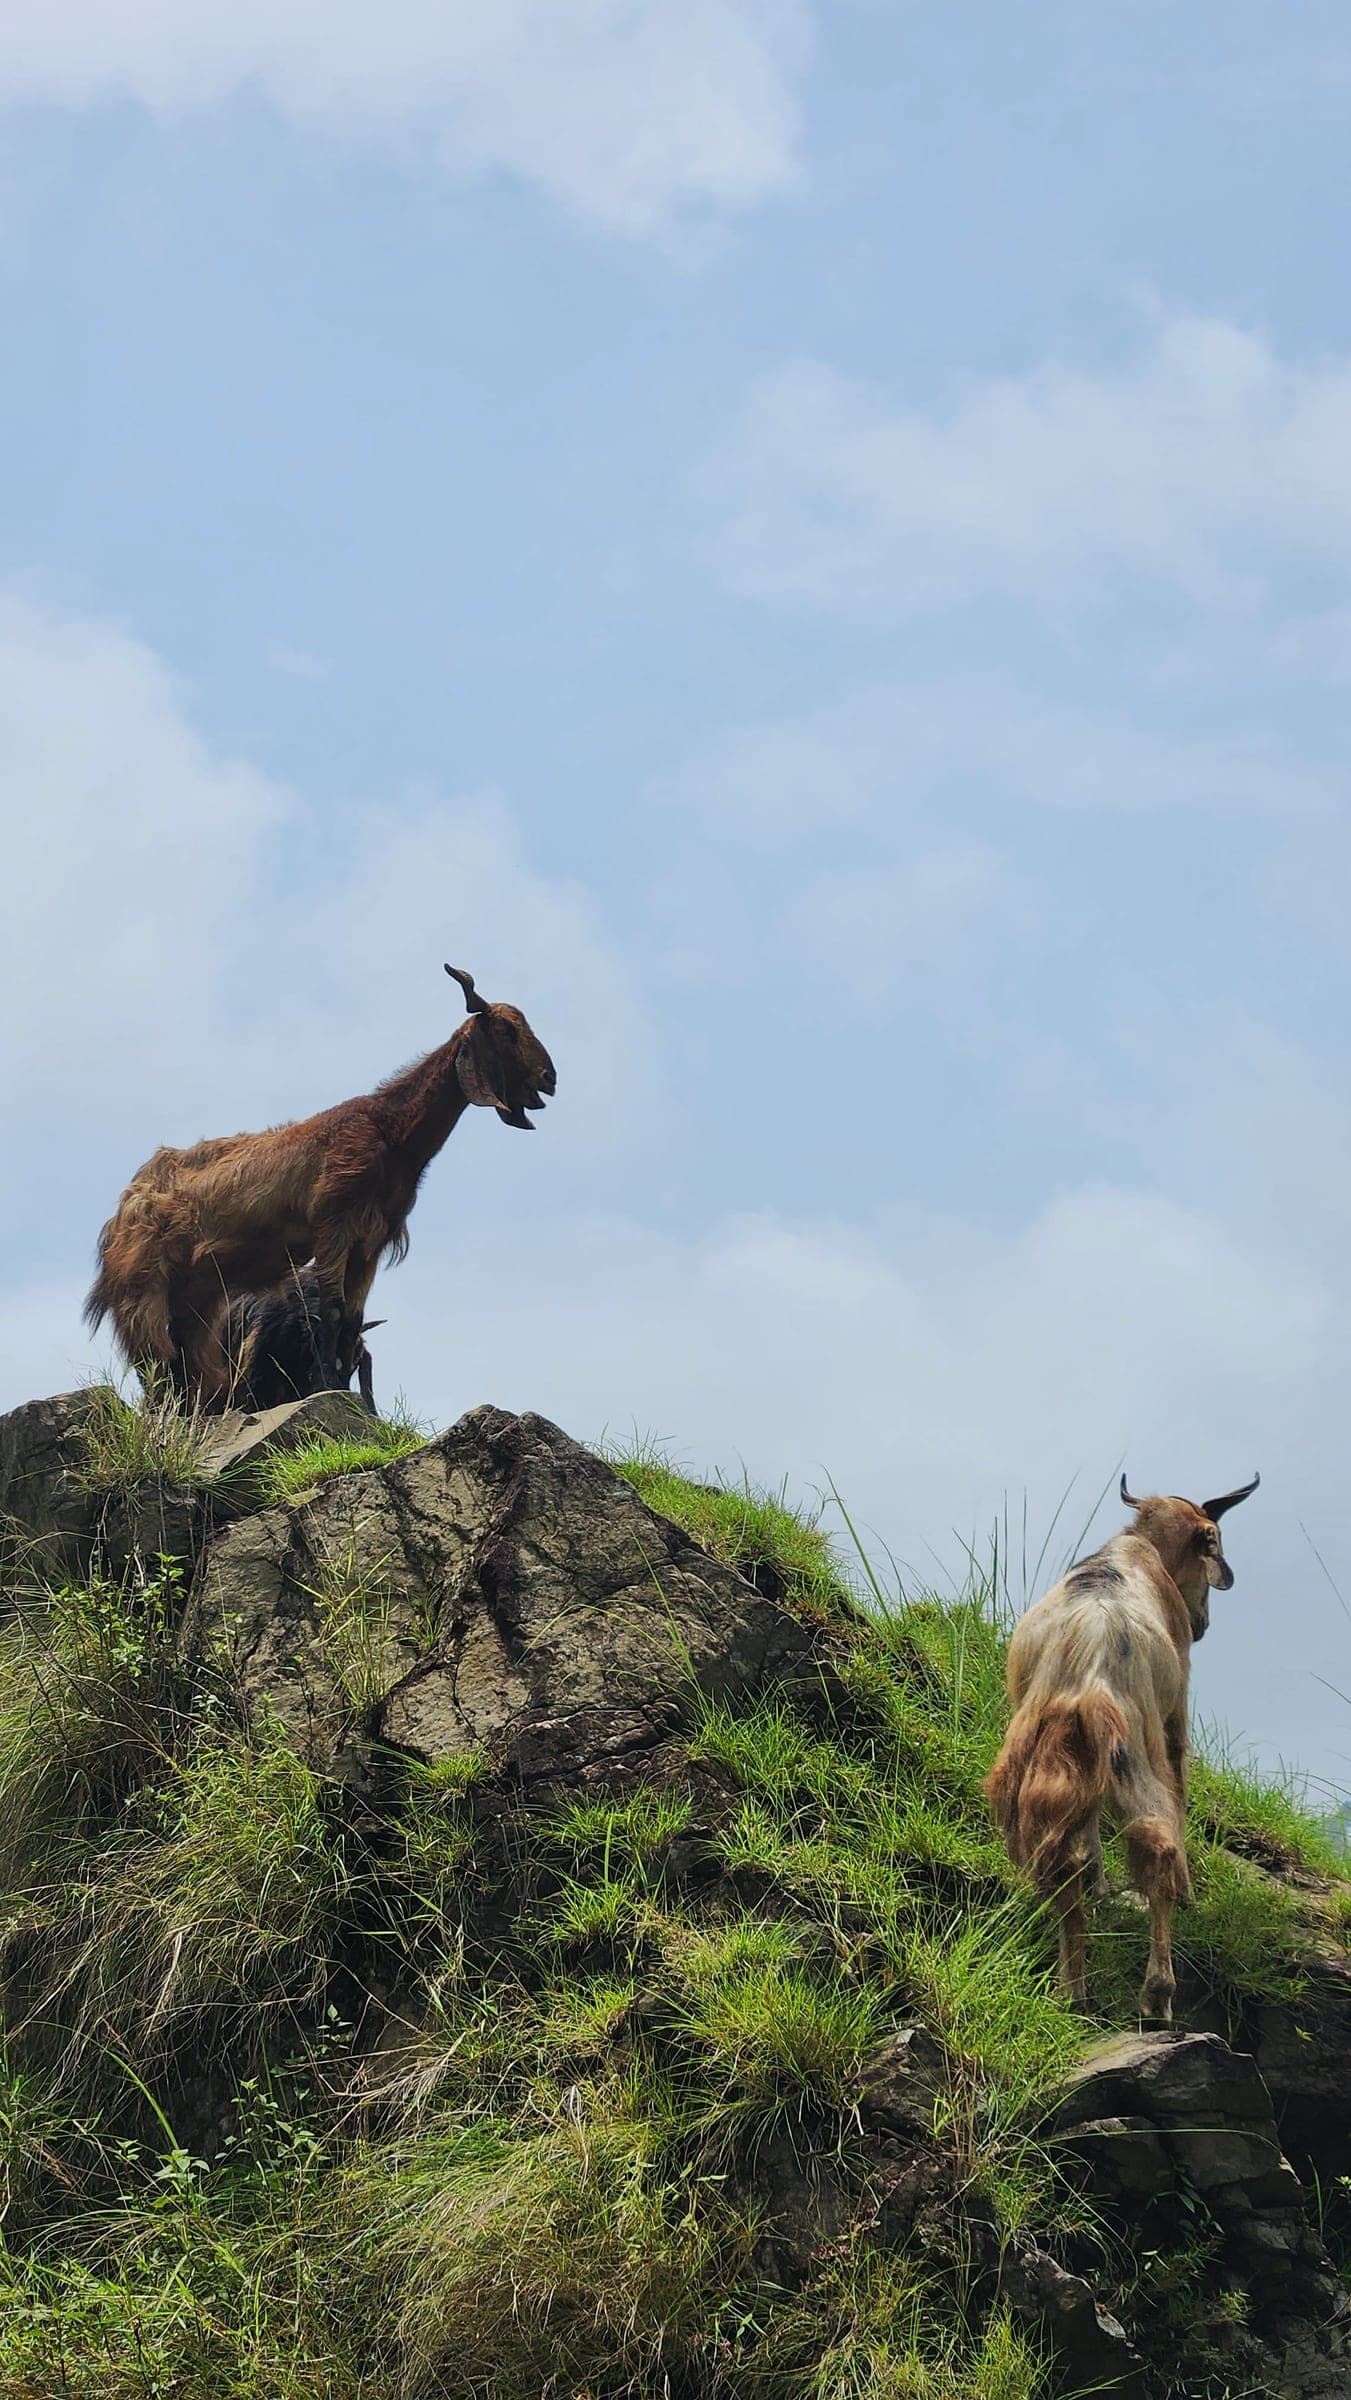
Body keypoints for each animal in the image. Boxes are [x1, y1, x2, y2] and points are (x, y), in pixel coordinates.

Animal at [85, 966, 554, 1399]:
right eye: (507, 1031)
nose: (550, 1078)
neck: (391, 1133)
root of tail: (124, 1207)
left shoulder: (371, 1243)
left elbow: (352, 1315)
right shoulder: (335, 1225)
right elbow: (331, 1310)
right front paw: (327, 1383)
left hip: (198, 1293)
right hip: (143, 1286)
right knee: (154, 1354)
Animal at [984, 1471, 1259, 2023]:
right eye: (1212, 1545)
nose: (1202, 1624)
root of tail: (1086, 1674)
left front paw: (1101, 1888)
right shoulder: (1174, 1712)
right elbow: (1181, 1783)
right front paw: (1191, 1893)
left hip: (1045, 1764)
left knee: (1063, 1861)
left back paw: (1072, 1987)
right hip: (1133, 1754)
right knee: (1158, 1844)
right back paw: (1156, 1996)